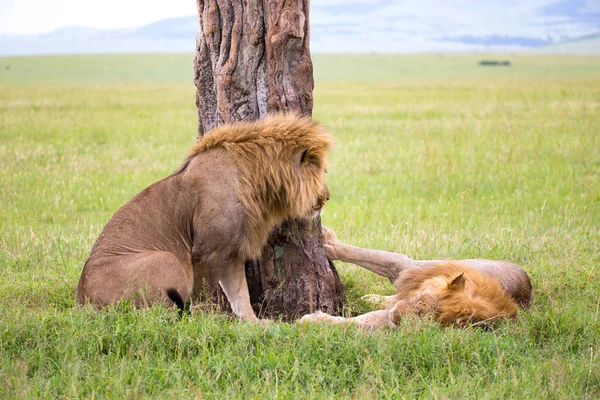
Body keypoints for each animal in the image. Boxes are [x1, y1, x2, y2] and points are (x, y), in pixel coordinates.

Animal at [76, 112, 332, 322]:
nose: (327, 197)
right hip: (166, 259)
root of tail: (81, 301)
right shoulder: (207, 252)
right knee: (160, 315)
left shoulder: (232, 252)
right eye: (323, 171)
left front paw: (255, 324)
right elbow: (205, 296)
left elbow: (240, 296)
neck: (257, 181)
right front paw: (208, 322)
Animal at [302, 227, 532, 330]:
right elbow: (374, 255)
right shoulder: (409, 269)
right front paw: (326, 240)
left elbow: (358, 322)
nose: (397, 317)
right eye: (422, 297)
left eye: (427, 318)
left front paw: (313, 320)